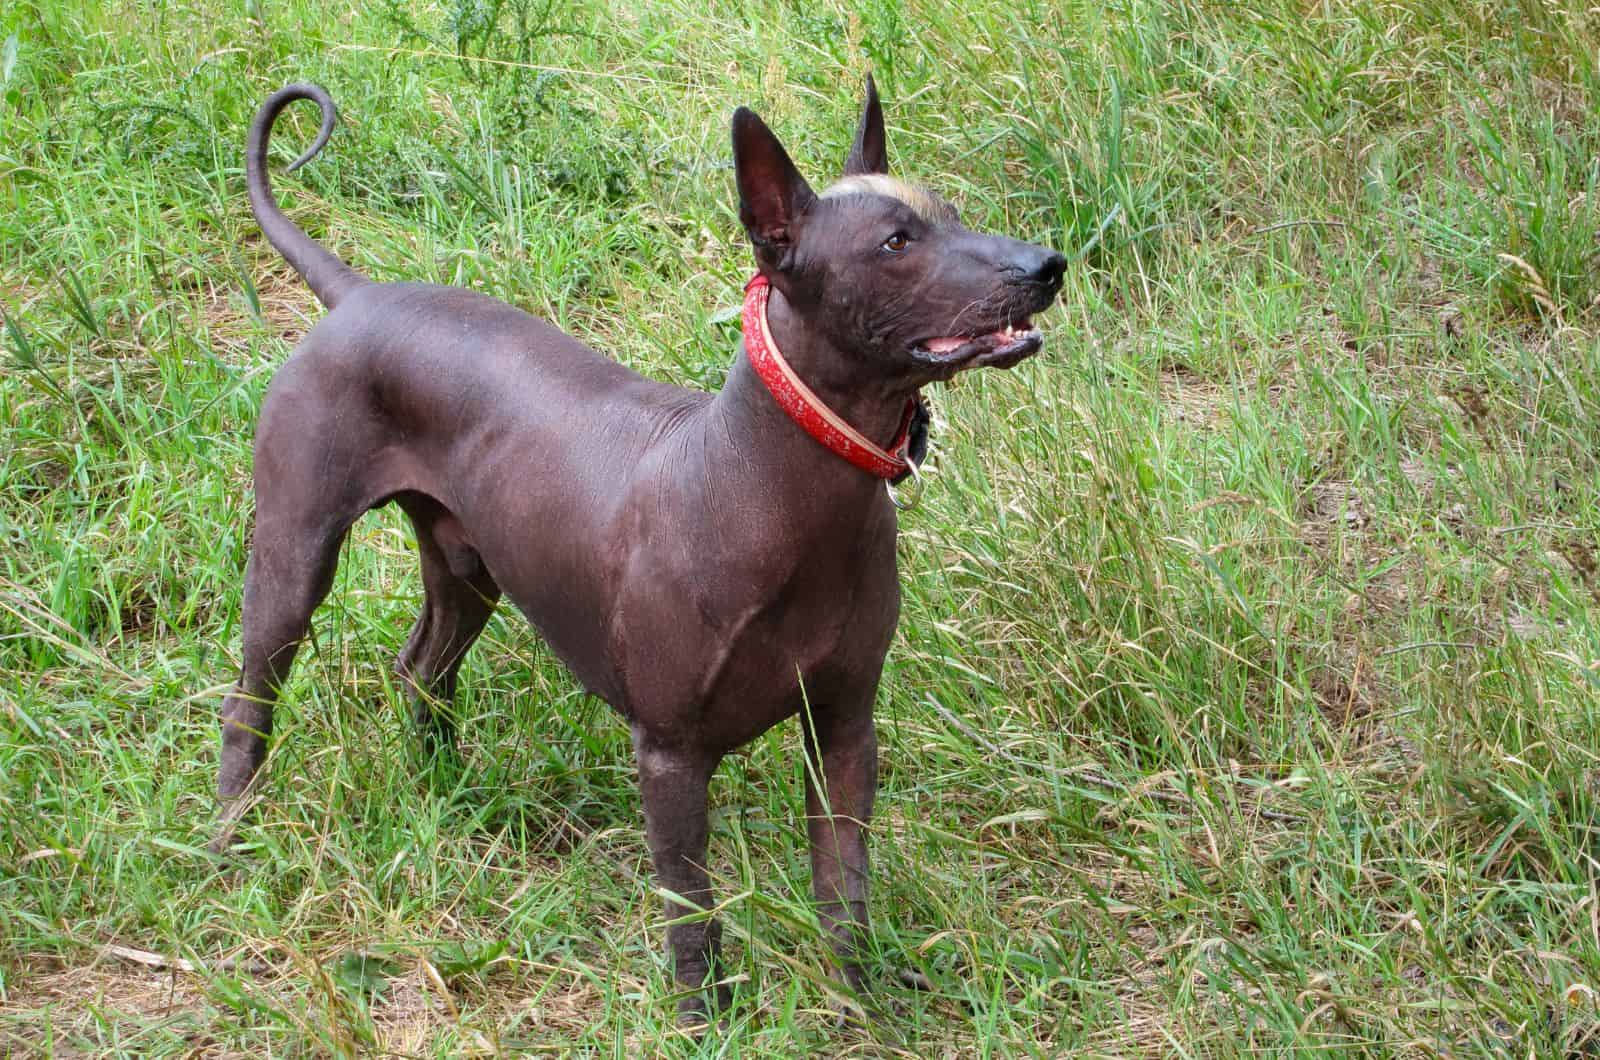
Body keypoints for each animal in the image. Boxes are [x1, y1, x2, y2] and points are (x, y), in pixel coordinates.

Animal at [212, 80, 1062, 1031]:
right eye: (896, 244)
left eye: (951, 214)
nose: (1046, 264)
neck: (775, 485)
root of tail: (358, 296)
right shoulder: (670, 754)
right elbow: (692, 905)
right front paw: (703, 1020)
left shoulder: (844, 728)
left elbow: (844, 883)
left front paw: (861, 997)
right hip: (294, 557)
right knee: (250, 699)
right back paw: (228, 838)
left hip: (468, 567)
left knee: (422, 668)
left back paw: (444, 796)